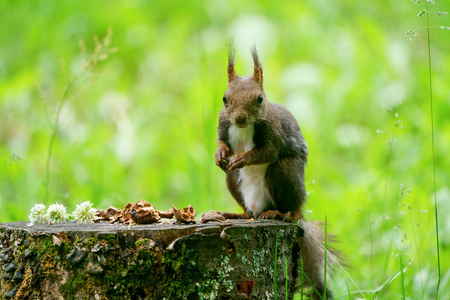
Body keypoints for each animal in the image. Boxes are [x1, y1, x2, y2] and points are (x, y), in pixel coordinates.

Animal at [203, 43, 338, 298]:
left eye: (259, 98)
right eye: (225, 98)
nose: (240, 118)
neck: (243, 129)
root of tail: (259, 207)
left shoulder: (274, 134)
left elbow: (266, 153)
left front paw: (242, 159)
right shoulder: (224, 125)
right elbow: (222, 142)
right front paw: (220, 155)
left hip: (284, 173)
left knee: (292, 208)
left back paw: (281, 214)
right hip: (233, 181)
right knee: (246, 210)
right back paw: (234, 214)